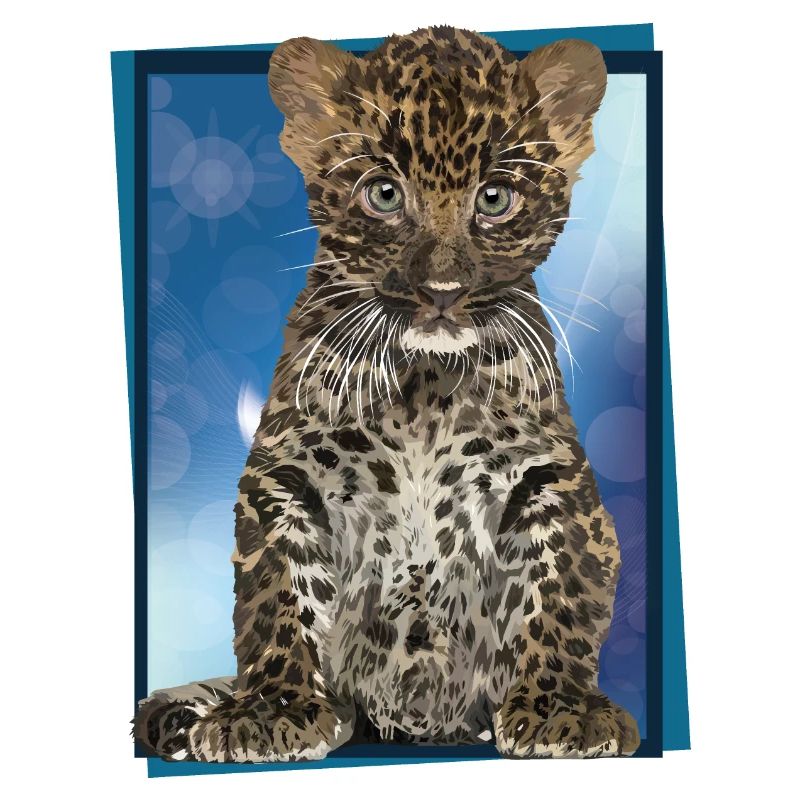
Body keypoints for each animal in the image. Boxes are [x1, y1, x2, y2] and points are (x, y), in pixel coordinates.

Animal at [134, 25, 641, 762]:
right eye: (382, 194)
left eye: (495, 199)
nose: (442, 291)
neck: (424, 386)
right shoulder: (286, 476)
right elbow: (278, 593)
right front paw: (271, 709)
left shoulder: (548, 476)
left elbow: (560, 588)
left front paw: (561, 709)